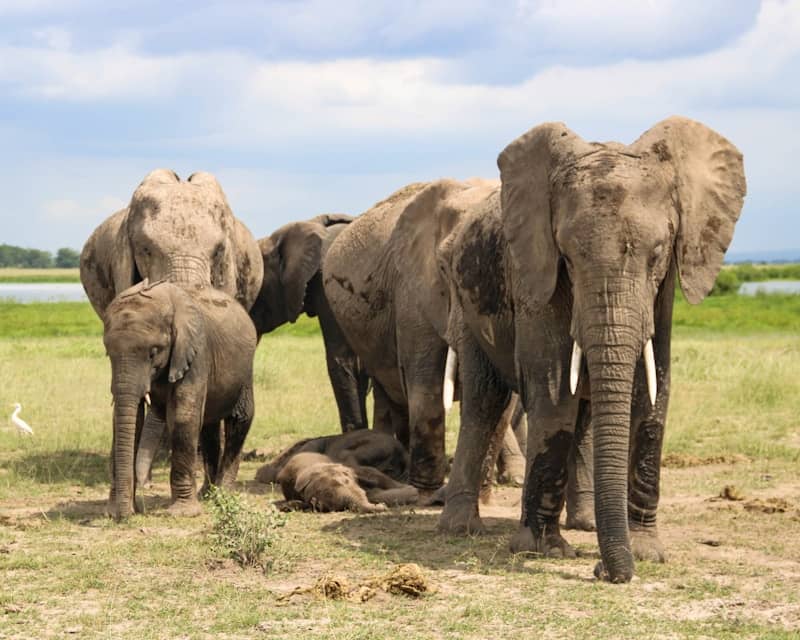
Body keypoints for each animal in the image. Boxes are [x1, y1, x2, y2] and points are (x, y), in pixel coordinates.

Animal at [101, 280, 255, 520]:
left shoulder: (196, 350)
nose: (126, 515)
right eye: (108, 353)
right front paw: (113, 510)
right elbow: (129, 421)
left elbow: (184, 415)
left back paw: (222, 495)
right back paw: (207, 495)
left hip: (245, 373)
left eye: (153, 352)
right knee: (208, 429)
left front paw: (182, 513)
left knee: (239, 421)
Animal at [418, 117, 744, 584]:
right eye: (567, 258)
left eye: (659, 253)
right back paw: (461, 528)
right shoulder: (534, 272)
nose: (601, 570)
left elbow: (654, 391)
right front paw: (543, 550)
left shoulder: (663, 293)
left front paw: (645, 553)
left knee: (585, 414)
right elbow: (553, 391)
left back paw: (587, 524)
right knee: (485, 403)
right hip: (466, 307)